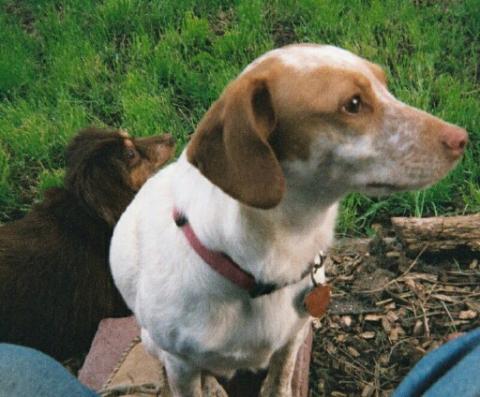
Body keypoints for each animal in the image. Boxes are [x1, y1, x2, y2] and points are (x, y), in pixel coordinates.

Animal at [110, 44, 466, 394]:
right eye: (353, 104)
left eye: (385, 84)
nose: (462, 137)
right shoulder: (179, 364)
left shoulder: (294, 334)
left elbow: (280, 380)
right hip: (152, 343)